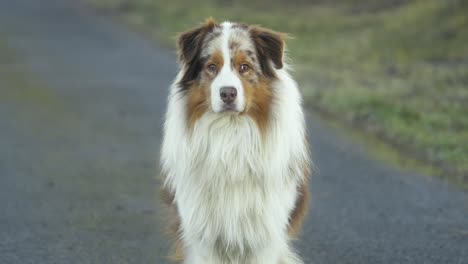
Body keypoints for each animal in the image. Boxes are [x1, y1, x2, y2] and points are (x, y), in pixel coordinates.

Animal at [161, 19, 310, 264]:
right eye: (212, 66)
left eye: (244, 67)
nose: (228, 93)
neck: (230, 132)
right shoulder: (203, 235)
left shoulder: (264, 236)